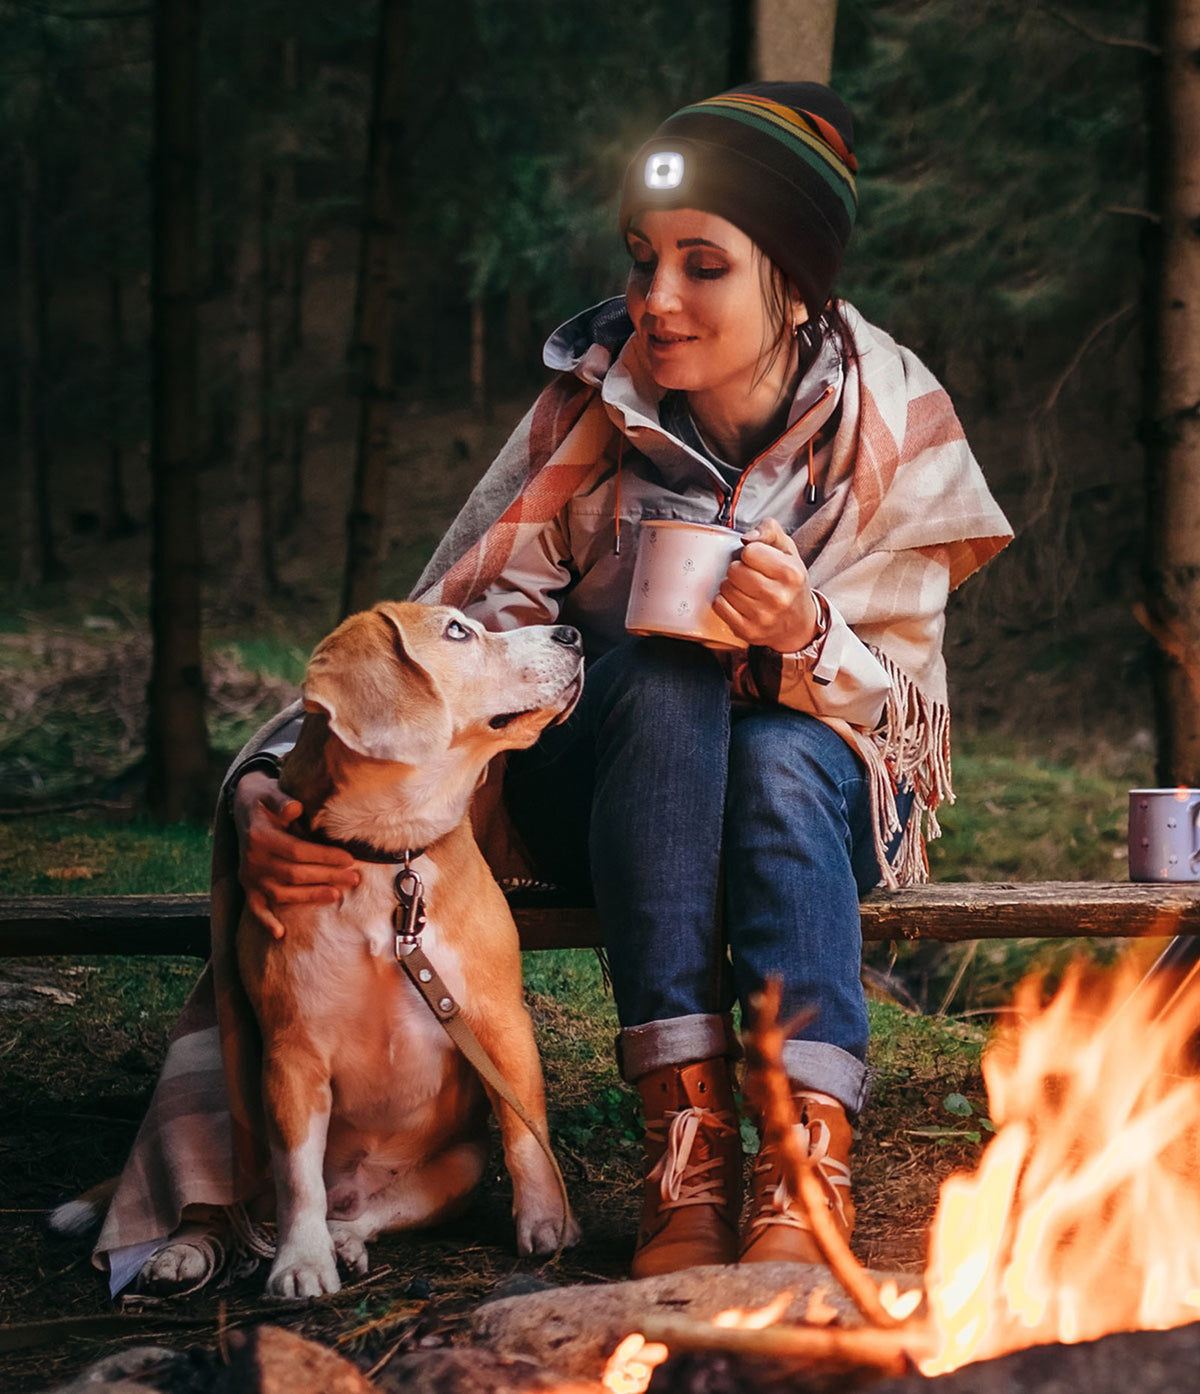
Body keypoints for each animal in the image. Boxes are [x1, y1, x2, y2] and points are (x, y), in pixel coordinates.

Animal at [231, 599, 582, 1293]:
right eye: (457, 631)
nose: (573, 634)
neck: (390, 855)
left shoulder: (498, 1021)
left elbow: (526, 1135)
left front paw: (547, 1223)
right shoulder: (291, 1053)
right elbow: (298, 1177)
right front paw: (301, 1261)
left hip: (460, 1165)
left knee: (372, 1215)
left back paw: (346, 1239)